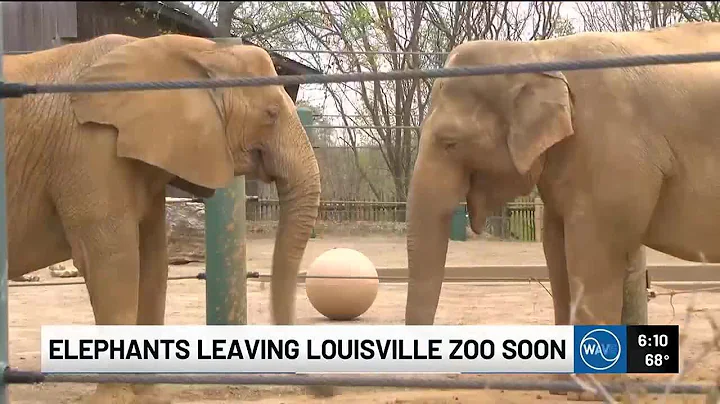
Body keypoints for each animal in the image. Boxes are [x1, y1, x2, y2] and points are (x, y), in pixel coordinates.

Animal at [4, 34, 320, 402]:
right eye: (270, 114)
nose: (324, 391)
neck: (200, 50)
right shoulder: (88, 149)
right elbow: (114, 263)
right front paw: (113, 398)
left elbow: (153, 263)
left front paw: (146, 395)